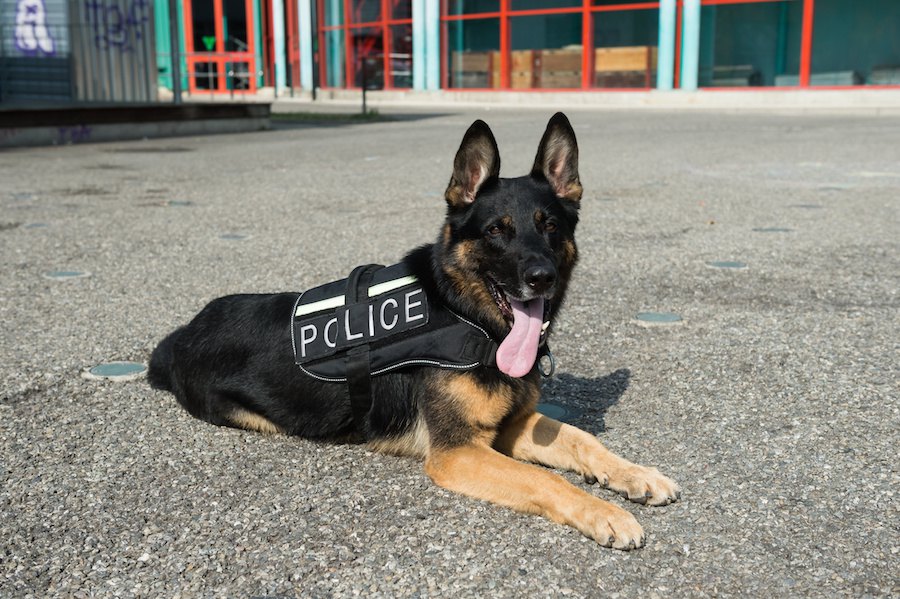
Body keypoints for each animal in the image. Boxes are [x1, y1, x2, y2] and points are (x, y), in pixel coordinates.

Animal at [149, 111, 684, 548]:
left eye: (550, 226)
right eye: (496, 230)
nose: (541, 277)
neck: (468, 316)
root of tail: (183, 333)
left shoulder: (509, 426)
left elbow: (579, 438)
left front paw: (635, 474)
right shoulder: (458, 452)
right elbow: (546, 479)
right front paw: (605, 513)